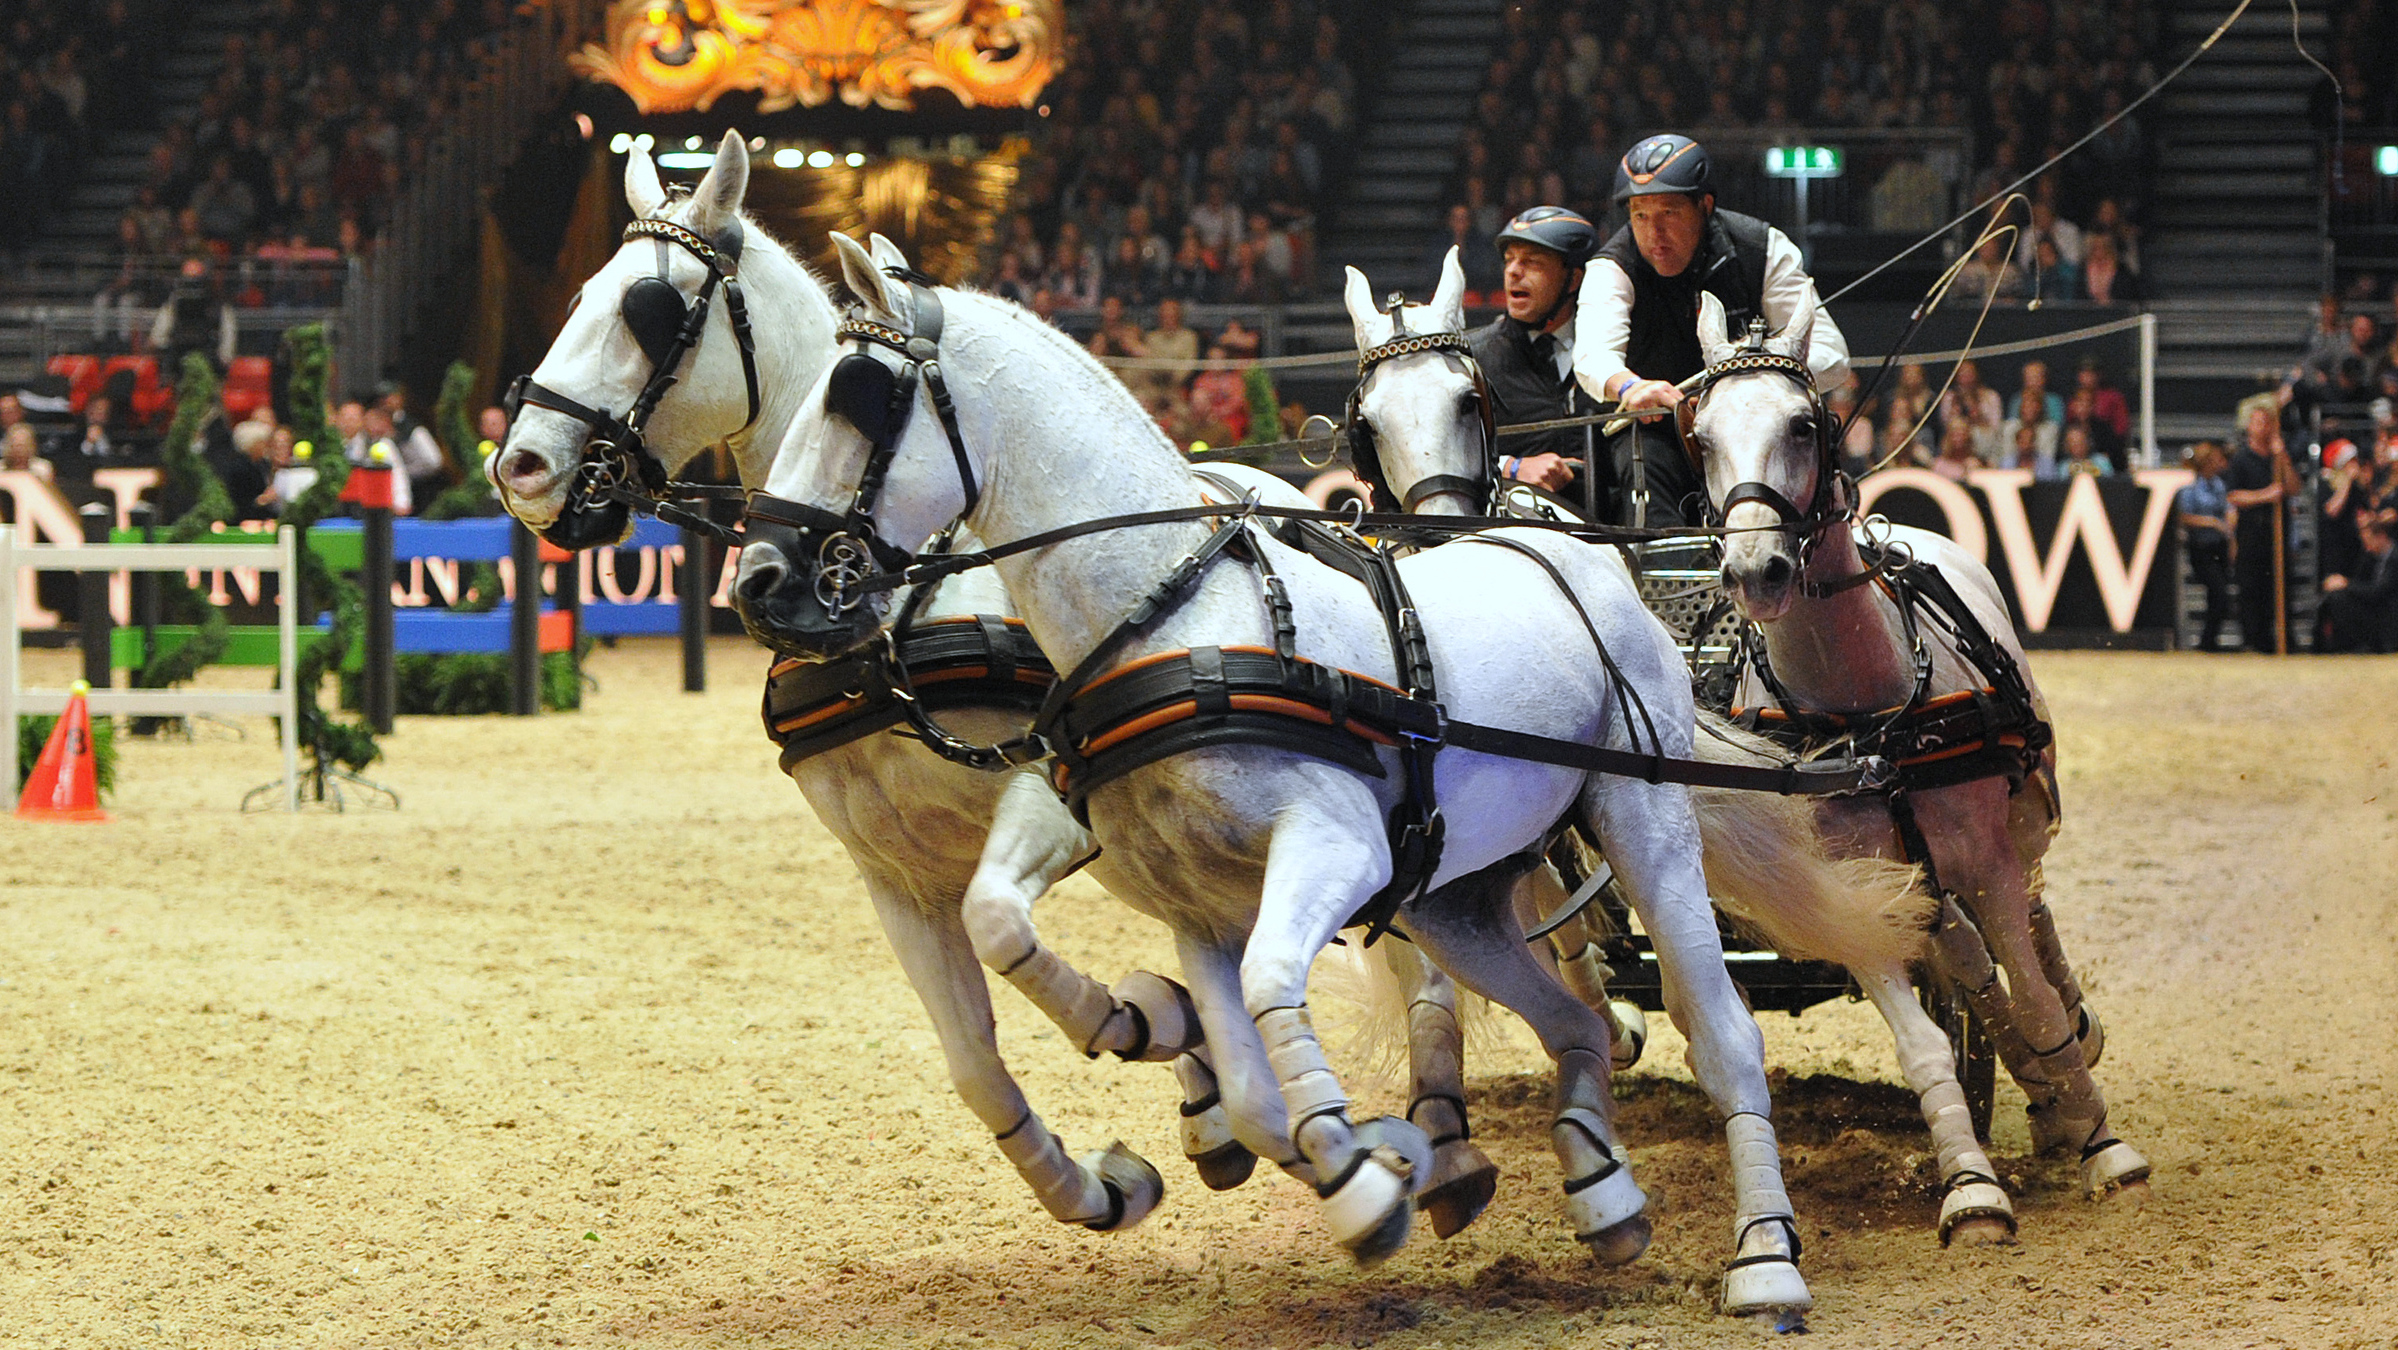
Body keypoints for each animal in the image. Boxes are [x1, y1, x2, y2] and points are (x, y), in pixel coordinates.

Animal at [489, 137, 1275, 1237]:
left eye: (649, 310)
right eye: (578, 296)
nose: (519, 467)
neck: (889, 603)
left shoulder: (1053, 799)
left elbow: (1004, 925)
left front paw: (1140, 1016)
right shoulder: (893, 871)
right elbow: (974, 1064)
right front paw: (1099, 1181)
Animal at [724, 234, 1927, 1323]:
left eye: (860, 399)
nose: (761, 578)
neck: (1179, 624)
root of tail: (1571, 555)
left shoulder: (1328, 851)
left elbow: (1270, 992)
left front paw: (1363, 1174)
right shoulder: (1195, 912)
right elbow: (1254, 1093)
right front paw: (1376, 1165)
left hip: (1641, 820)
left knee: (1717, 1027)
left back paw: (1764, 1259)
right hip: (1456, 898)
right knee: (1575, 1020)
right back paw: (1600, 1194)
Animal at [1688, 287, 2158, 1213]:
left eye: (1803, 422)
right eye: (1703, 431)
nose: (1756, 570)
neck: (1866, 717)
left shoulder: (1983, 859)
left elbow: (2035, 996)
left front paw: (2101, 1141)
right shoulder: (1854, 889)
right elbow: (1925, 1043)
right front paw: (1970, 1184)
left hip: (2019, 823)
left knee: (2035, 928)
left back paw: (2073, 1058)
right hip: (1924, 885)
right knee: (1968, 962)